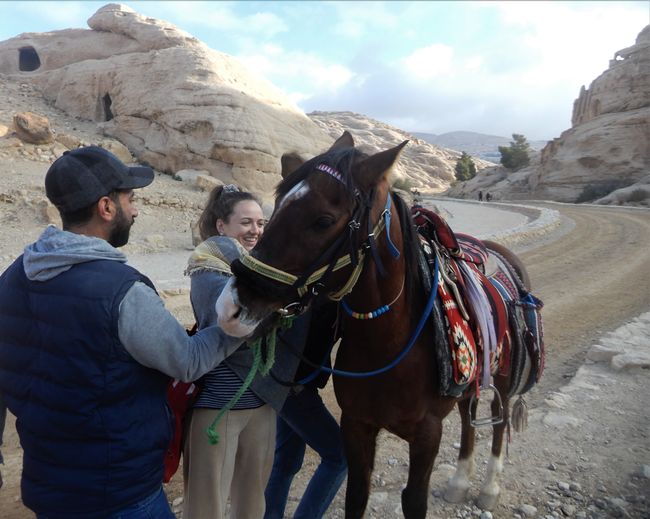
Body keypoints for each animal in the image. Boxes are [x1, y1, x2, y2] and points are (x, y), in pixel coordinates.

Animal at [215, 132, 536, 516]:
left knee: (498, 420)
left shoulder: (427, 434)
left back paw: (489, 486)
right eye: (275, 208)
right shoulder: (356, 426)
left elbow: (414, 501)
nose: (231, 306)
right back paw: (459, 481)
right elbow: (356, 495)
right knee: (467, 414)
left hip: (501, 376)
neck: (390, 343)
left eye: (323, 220)